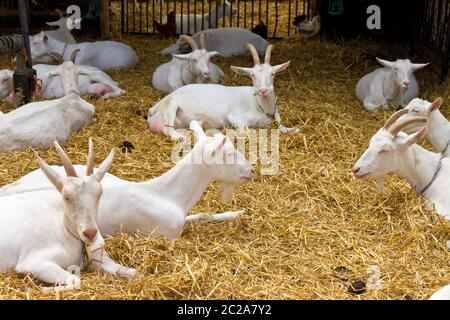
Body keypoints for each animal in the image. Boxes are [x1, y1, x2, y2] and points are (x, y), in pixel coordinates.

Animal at [0, 121, 253, 241]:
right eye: (230, 154)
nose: (251, 170)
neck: (168, 195)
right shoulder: (167, 232)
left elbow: (203, 215)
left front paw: (239, 212)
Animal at [0, 139, 135, 292]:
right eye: (66, 197)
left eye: (99, 194)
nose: (90, 233)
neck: (64, 230)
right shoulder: (34, 262)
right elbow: (76, 281)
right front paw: (39, 290)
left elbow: (132, 272)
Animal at [148, 42, 296, 140]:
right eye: (252, 75)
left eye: (273, 74)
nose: (263, 90)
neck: (260, 105)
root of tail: (153, 109)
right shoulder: (236, 117)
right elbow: (246, 132)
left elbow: (287, 129)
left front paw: (292, 129)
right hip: (171, 105)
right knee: (168, 129)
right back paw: (181, 137)